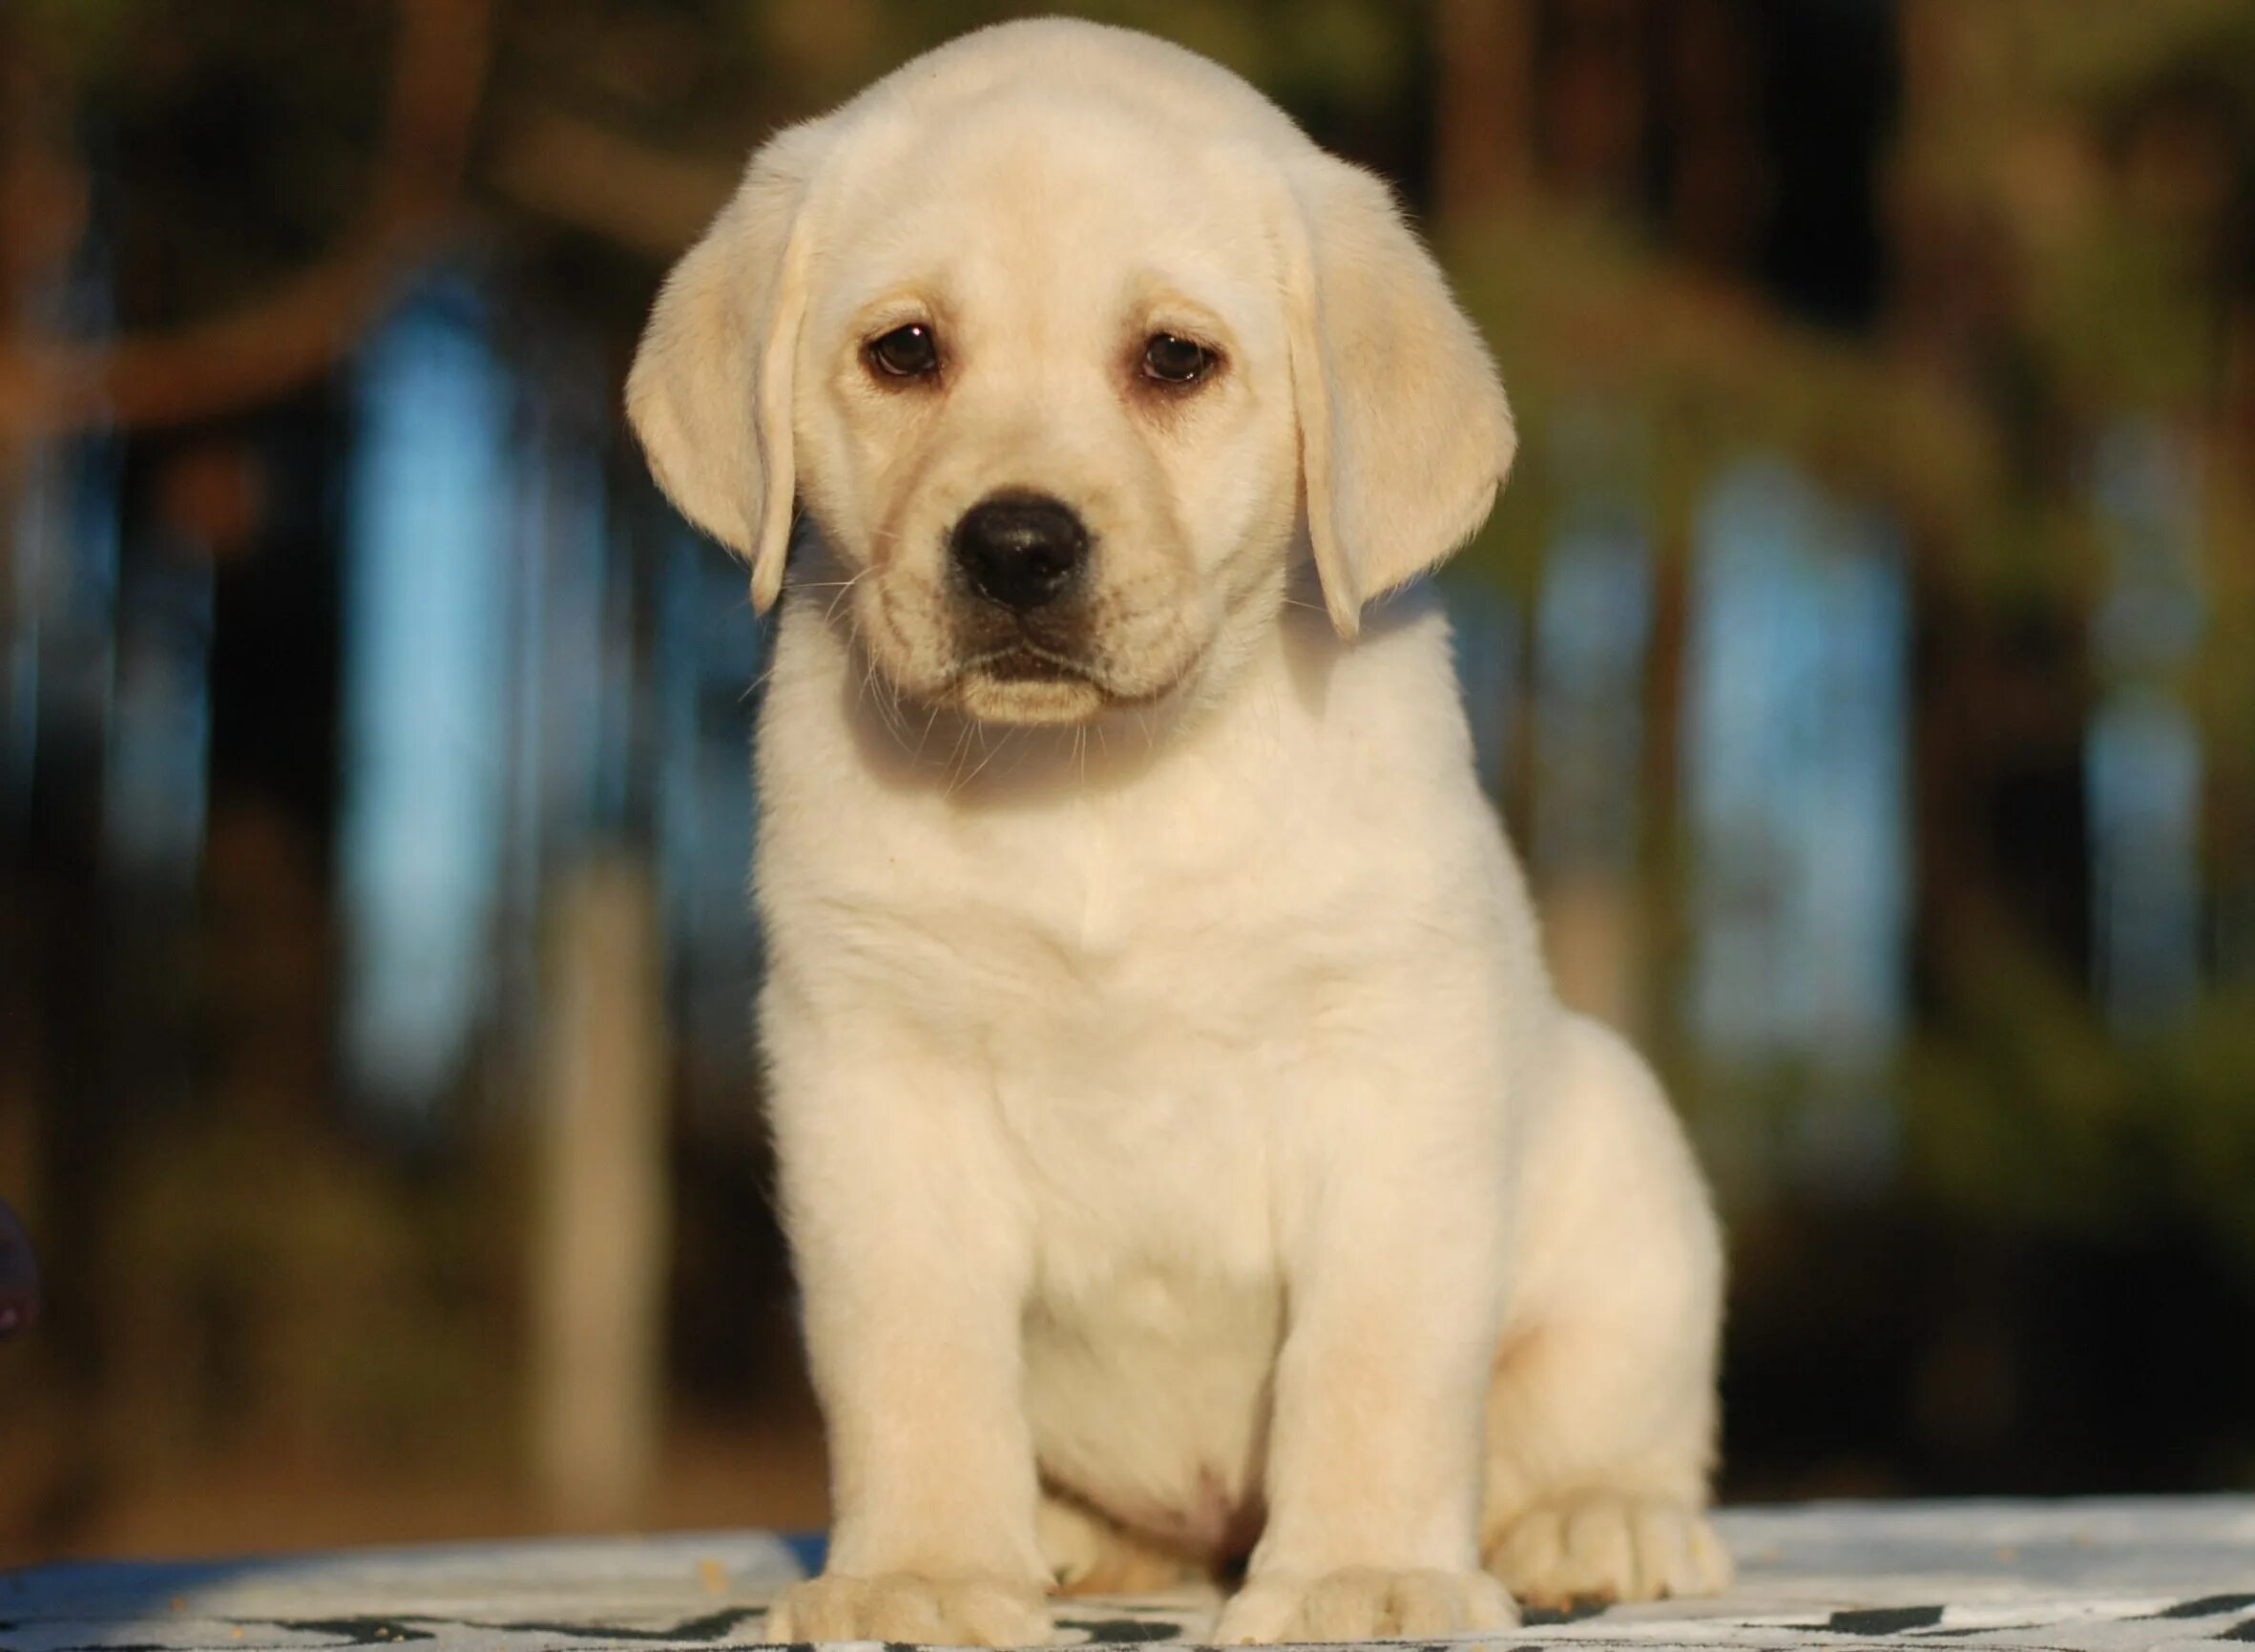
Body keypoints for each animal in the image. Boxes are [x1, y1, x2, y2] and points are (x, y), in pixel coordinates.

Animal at [626, 19, 1713, 1641]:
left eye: (1173, 362)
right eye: (903, 351)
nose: (1016, 545)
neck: (1094, 782)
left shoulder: (1390, 1054)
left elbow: (1375, 1355)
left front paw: (1362, 1573)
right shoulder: (873, 1068)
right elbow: (911, 1362)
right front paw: (927, 1570)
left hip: (1623, 1164)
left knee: (1602, 1421)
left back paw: (1595, 1519)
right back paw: (1071, 1538)